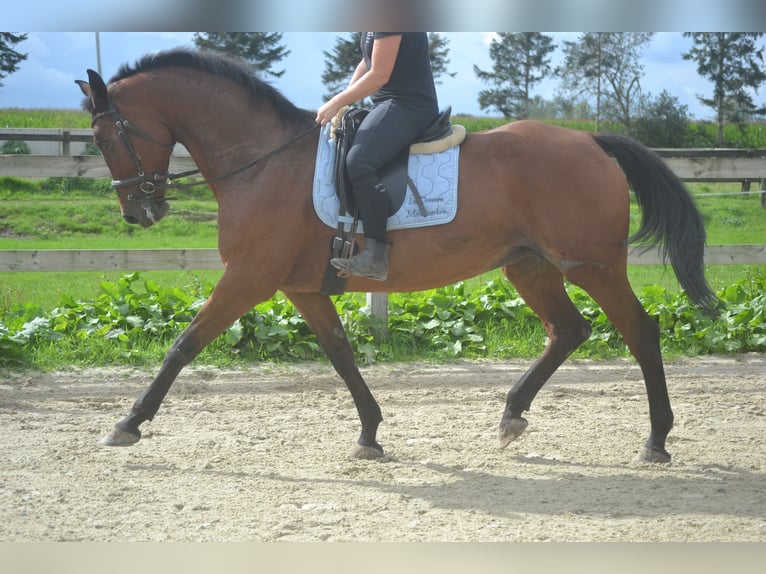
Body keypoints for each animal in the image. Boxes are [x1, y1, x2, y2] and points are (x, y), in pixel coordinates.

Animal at [78, 48, 720, 464]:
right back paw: (512, 415)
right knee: (568, 330)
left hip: (592, 265)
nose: (138, 213)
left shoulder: (249, 278)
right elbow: (340, 355)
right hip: (529, 265)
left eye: (104, 139)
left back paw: (657, 440)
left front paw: (128, 423)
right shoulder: (302, 288)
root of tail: (591, 140)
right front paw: (370, 433)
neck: (263, 160)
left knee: (641, 332)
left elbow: (185, 344)